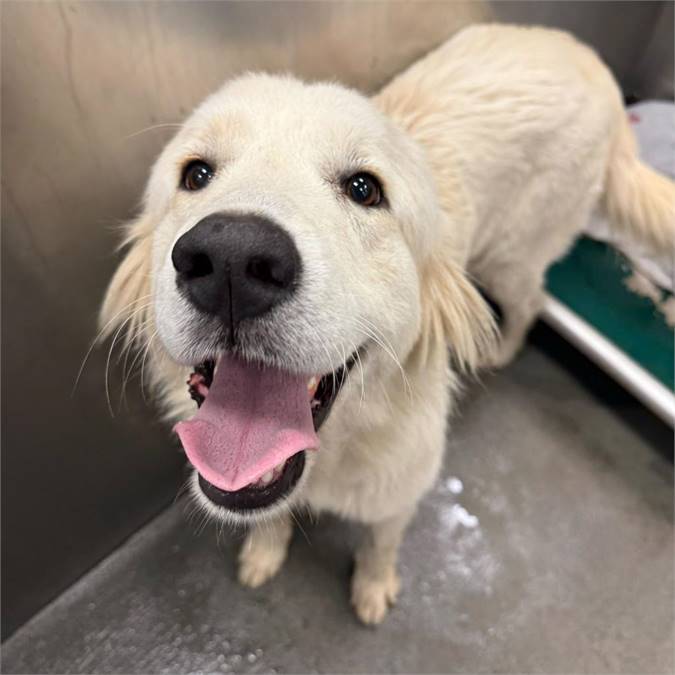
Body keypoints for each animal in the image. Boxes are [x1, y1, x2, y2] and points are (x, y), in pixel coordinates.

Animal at [100, 22, 675, 624]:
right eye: (197, 174)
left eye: (364, 188)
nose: (231, 259)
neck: (334, 451)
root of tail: (584, 55)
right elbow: (272, 517)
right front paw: (264, 552)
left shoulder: (399, 494)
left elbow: (380, 545)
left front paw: (372, 591)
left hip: (511, 259)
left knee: (533, 300)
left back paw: (501, 348)